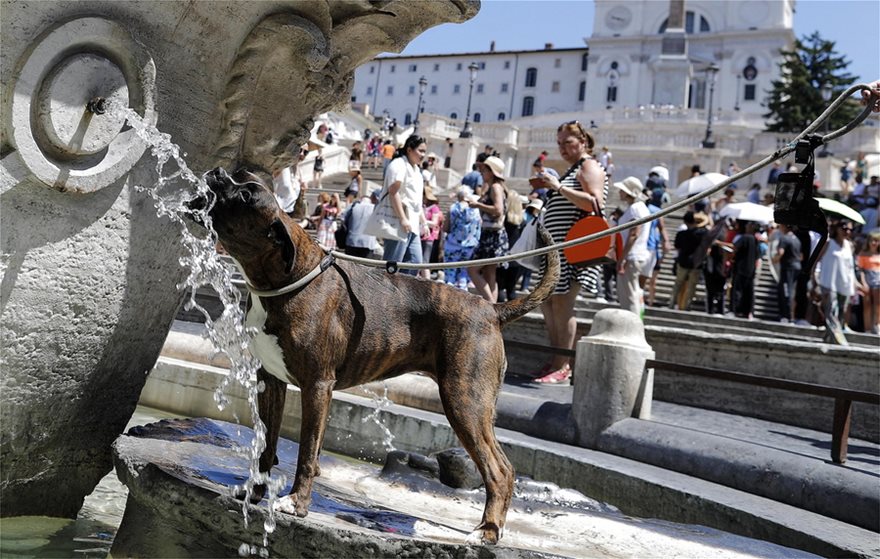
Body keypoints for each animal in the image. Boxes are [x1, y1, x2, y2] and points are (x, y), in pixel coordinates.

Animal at [196, 165, 560, 544]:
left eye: (246, 195)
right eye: (241, 179)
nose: (219, 172)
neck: (285, 280)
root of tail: (491, 308)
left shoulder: (317, 387)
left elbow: (307, 451)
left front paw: (296, 504)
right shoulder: (270, 381)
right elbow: (266, 446)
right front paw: (253, 492)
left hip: (465, 402)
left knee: (500, 470)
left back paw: (487, 532)